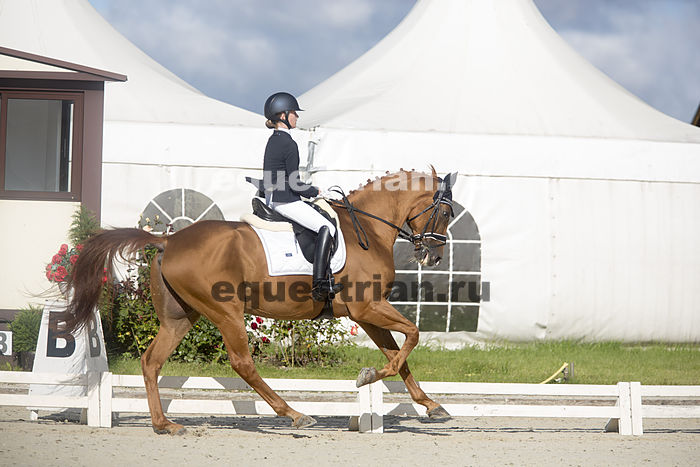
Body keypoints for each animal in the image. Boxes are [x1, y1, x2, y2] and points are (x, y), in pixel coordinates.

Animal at [65, 167, 457, 434]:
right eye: (445, 213)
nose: (433, 256)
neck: (368, 230)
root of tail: (169, 241)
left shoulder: (365, 313)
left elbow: (398, 354)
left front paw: (432, 406)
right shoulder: (367, 307)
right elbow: (412, 336)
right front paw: (368, 376)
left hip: (181, 317)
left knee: (151, 362)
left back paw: (165, 424)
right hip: (226, 311)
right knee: (242, 363)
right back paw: (294, 414)